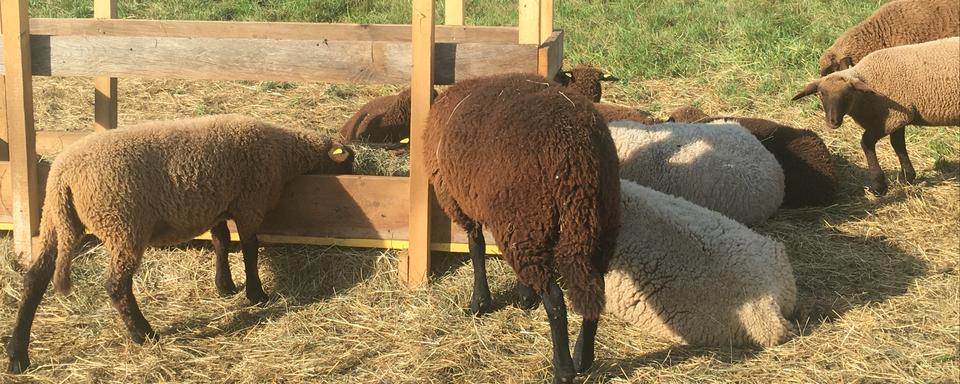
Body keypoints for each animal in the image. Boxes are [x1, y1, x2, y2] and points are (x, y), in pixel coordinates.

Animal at [422, 73, 620, 382]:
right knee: (593, 290)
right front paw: (524, 295)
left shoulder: (459, 201)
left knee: (555, 301)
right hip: (593, 225)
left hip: (527, 217)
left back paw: (563, 369)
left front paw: (480, 302)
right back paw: (583, 358)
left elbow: (476, 247)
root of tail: (578, 157)